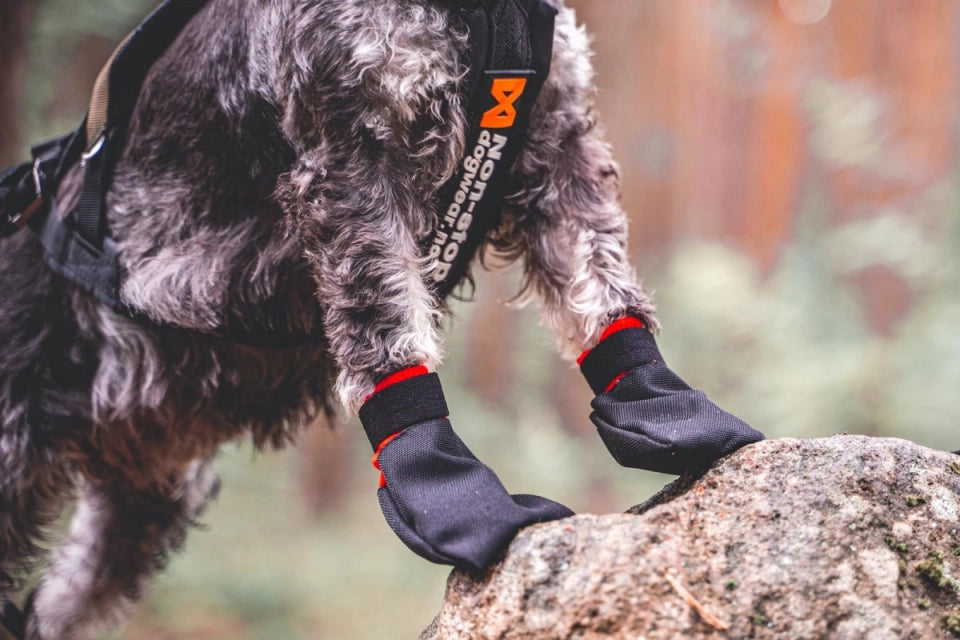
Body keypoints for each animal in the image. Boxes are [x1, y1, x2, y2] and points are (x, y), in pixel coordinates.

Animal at [1, 2, 764, 636]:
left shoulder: (556, 139)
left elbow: (599, 282)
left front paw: (664, 405)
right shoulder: (354, 164)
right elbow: (389, 332)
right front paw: (449, 490)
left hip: (140, 507)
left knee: (57, 599)